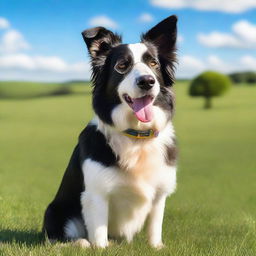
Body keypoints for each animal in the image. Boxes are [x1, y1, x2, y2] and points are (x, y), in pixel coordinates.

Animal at [42, 14, 178, 248]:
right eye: (122, 65)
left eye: (153, 63)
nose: (147, 81)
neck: (136, 136)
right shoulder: (96, 193)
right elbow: (98, 233)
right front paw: (102, 248)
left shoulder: (160, 192)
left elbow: (155, 226)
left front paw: (156, 247)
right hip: (56, 211)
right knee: (60, 239)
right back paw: (81, 243)